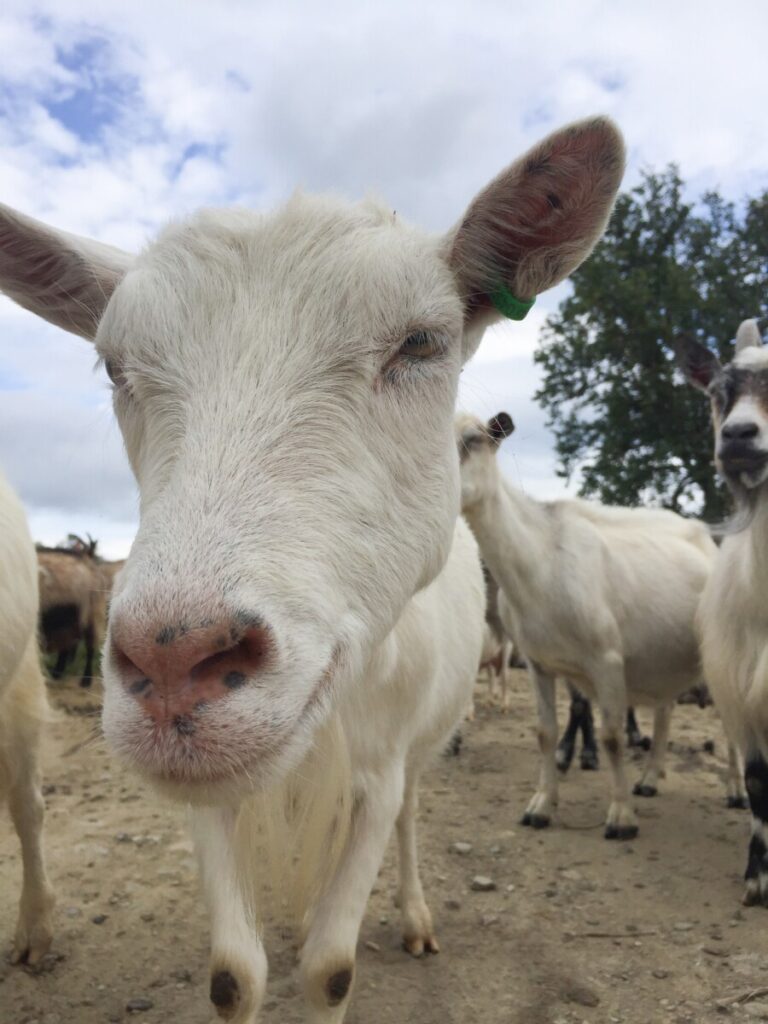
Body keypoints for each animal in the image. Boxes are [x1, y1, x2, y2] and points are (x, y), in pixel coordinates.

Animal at [0, 116, 626, 1019]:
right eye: (115, 367)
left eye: (421, 343)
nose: (174, 665)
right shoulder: (213, 797)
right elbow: (234, 974)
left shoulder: (378, 770)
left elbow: (333, 965)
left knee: (410, 821)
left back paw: (416, 917)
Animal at [460, 409, 737, 839]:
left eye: (471, 440)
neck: (539, 558)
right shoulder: (538, 663)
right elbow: (545, 733)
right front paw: (541, 806)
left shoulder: (606, 659)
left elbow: (611, 737)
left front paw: (621, 817)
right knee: (665, 710)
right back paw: (649, 779)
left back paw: (736, 792)